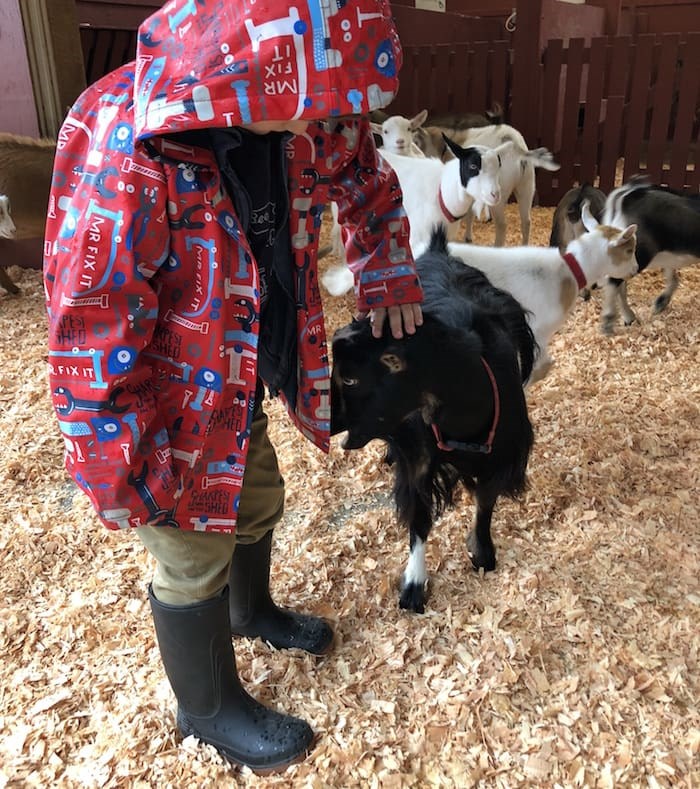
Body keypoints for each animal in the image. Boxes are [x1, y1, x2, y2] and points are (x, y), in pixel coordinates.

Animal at [330, 229, 536, 616]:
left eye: (349, 379)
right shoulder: (419, 460)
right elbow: (419, 515)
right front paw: (414, 584)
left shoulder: (500, 457)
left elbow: (485, 503)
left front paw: (483, 552)